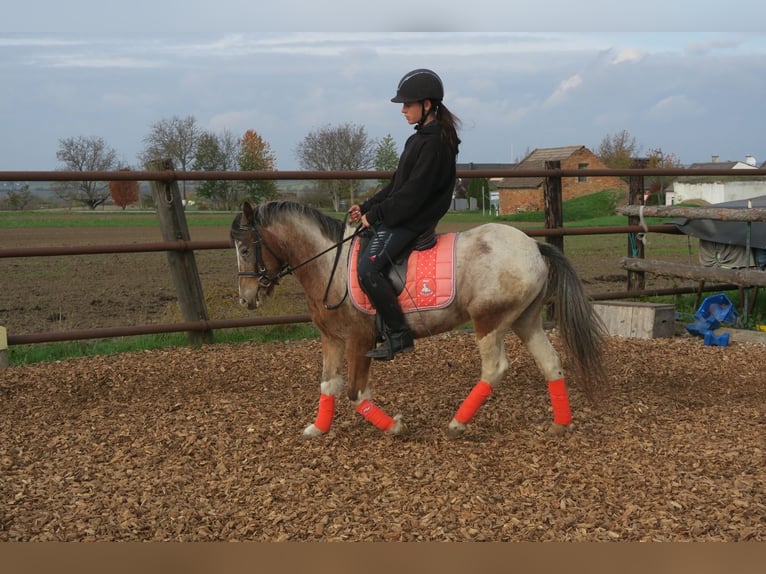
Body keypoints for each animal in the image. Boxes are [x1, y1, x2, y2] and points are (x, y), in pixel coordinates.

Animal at [231, 200, 608, 438]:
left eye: (246, 248)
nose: (246, 298)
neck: (329, 266)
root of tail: (532, 246)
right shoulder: (332, 339)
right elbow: (328, 385)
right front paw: (318, 428)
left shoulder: (359, 340)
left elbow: (356, 393)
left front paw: (395, 427)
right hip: (525, 320)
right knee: (551, 363)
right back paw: (560, 425)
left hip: (489, 321)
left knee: (494, 369)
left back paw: (456, 425)